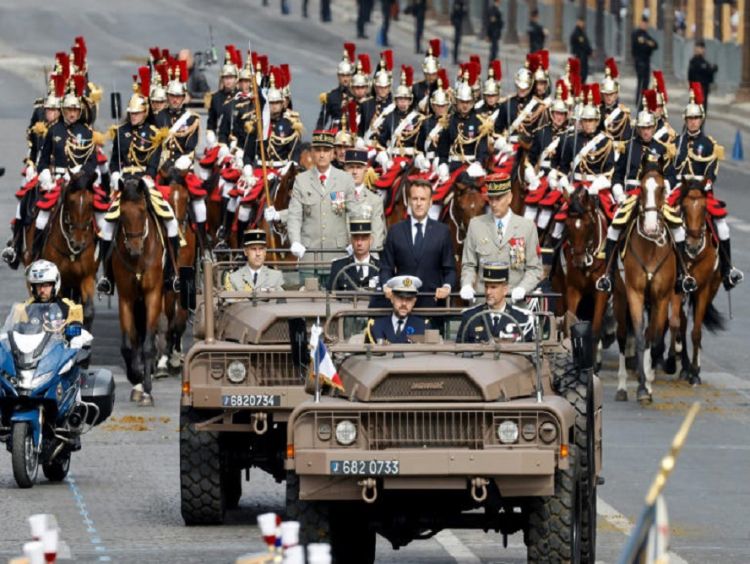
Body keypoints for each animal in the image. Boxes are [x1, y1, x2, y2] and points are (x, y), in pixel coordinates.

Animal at [40, 172, 99, 330]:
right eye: (71, 201)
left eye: (90, 203)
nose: (77, 243)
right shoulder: (58, 283)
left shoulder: (87, 277)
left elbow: (88, 311)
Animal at [616, 167, 680, 406]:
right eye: (641, 188)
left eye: (661, 188)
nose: (651, 226)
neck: (651, 247)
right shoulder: (634, 294)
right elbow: (640, 337)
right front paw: (642, 387)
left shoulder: (661, 298)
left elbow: (653, 336)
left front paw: (648, 383)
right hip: (620, 298)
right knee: (622, 336)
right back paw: (622, 386)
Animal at [672, 178, 724, 386]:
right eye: (684, 207)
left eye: (704, 208)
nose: (692, 244)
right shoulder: (677, 288)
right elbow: (679, 325)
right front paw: (685, 364)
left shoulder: (703, 289)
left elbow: (696, 331)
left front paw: (695, 372)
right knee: (682, 323)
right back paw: (682, 363)